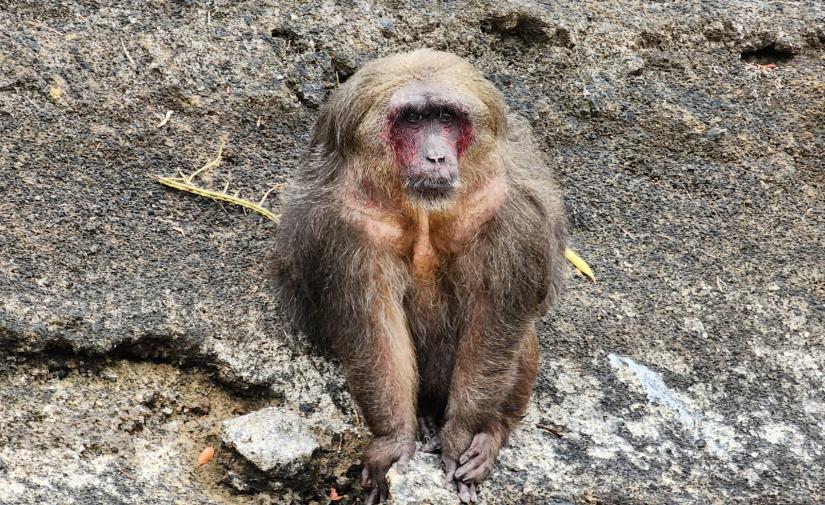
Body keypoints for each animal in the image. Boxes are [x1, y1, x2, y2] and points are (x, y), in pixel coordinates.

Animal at [272, 48, 568, 504]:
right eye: (412, 119)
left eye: (445, 118)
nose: (435, 156)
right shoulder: (343, 223)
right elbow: (371, 324)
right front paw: (394, 438)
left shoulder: (510, 208)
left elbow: (496, 318)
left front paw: (464, 434)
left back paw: (490, 431)